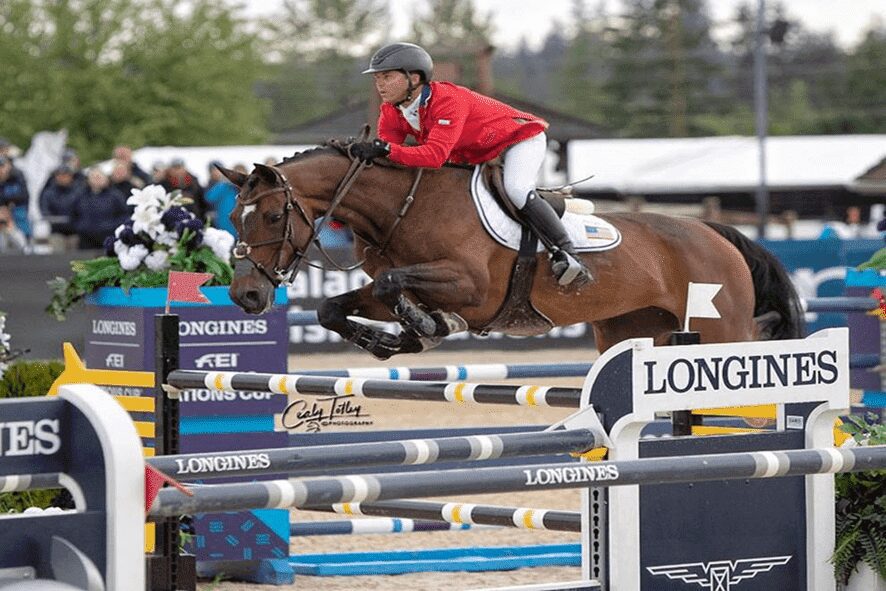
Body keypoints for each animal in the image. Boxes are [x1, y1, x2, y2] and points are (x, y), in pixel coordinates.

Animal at [220, 140, 804, 358]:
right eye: (230, 218)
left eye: (273, 216)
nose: (246, 296)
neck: (403, 207)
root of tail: (715, 232)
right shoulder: (397, 284)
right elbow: (333, 307)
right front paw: (387, 342)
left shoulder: (470, 287)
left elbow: (393, 285)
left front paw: (428, 327)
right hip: (632, 327)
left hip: (718, 328)